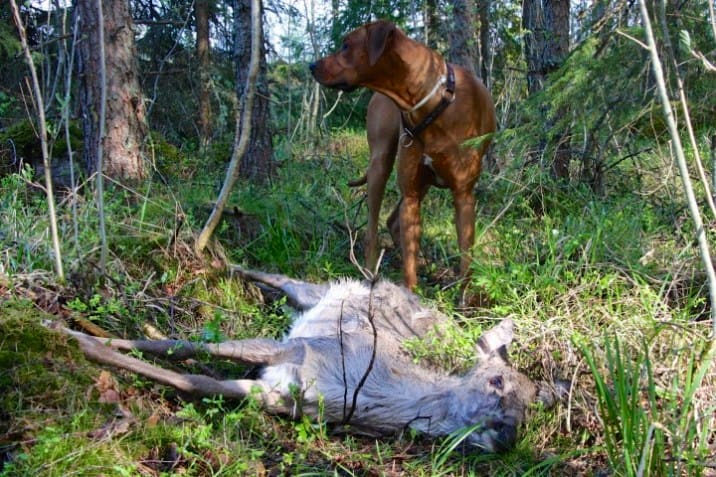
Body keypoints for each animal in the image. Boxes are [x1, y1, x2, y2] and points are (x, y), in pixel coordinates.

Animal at [56, 267, 554, 452]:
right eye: (496, 383)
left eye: (531, 408)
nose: (508, 437)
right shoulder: (303, 349)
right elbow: (196, 346)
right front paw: (74, 334)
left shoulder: (281, 393)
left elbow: (195, 380)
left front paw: (89, 342)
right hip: (315, 292)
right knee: (276, 276)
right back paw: (220, 259)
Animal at [310, 20, 497, 290]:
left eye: (346, 45)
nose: (311, 65)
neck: (432, 103)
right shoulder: (410, 195)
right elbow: (409, 265)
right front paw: (411, 291)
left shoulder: (463, 195)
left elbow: (465, 259)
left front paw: (464, 297)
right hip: (381, 164)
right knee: (374, 230)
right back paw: (372, 273)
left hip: (423, 183)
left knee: (392, 222)